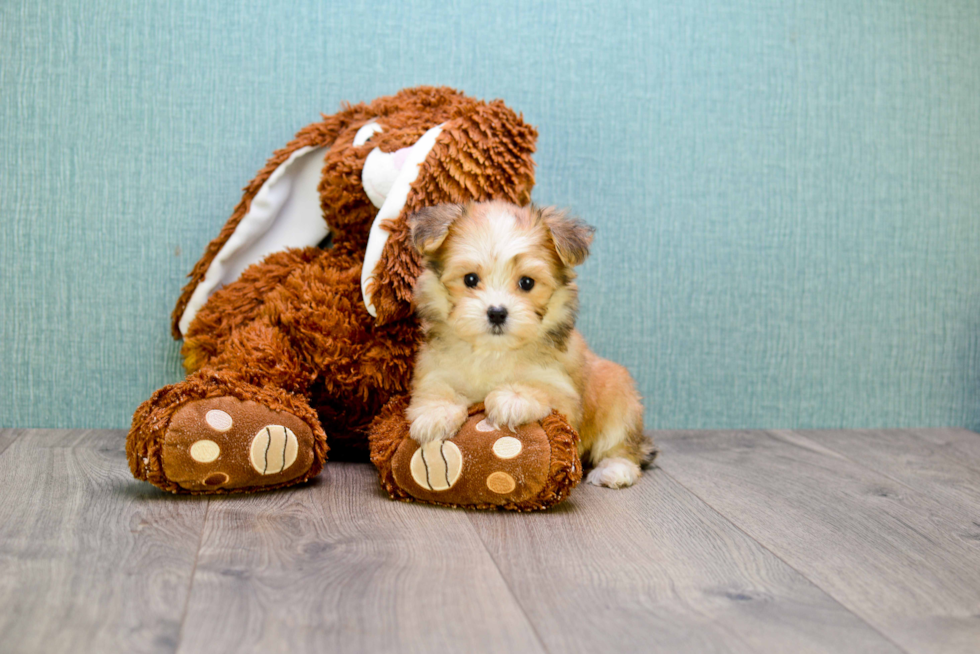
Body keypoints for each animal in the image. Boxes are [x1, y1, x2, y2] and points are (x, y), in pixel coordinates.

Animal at [402, 202, 656, 490]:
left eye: (526, 282)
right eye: (470, 279)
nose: (497, 313)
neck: (493, 351)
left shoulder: (562, 388)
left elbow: (541, 388)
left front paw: (512, 399)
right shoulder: (436, 367)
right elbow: (436, 387)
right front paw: (434, 414)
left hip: (619, 396)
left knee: (620, 444)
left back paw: (614, 470)